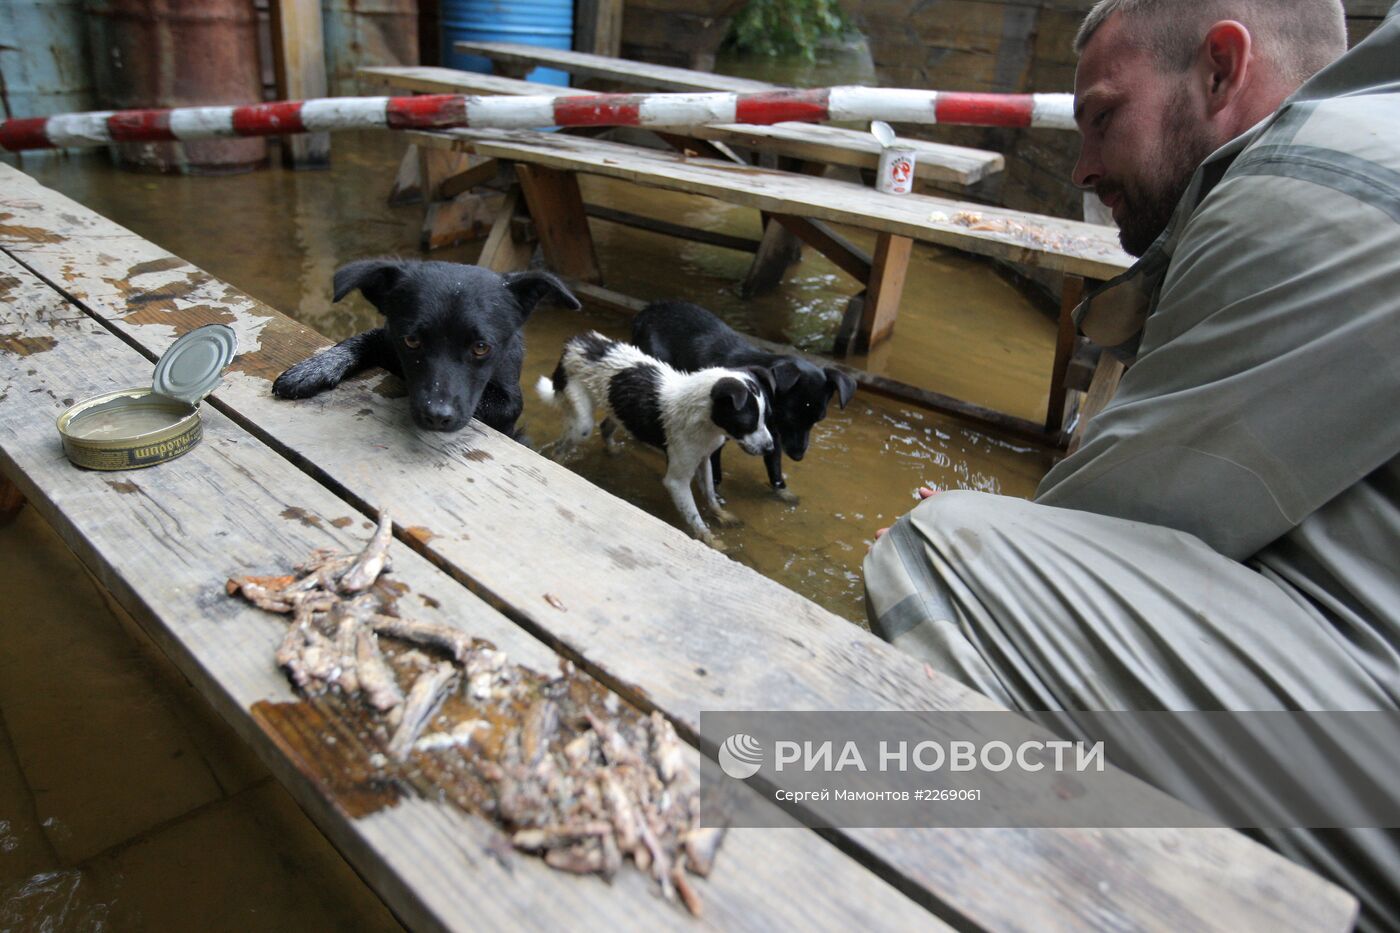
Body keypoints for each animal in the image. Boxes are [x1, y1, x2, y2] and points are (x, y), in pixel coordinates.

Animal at [270, 257, 576, 437]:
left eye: (481, 347)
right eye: (412, 341)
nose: (437, 417)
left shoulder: (509, 400)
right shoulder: (388, 338)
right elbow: (356, 340)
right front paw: (312, 370)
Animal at [534, 332, 778, 546]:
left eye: (767, 417)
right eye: (747, 423)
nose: (770, 448)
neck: (704, 419)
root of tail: (577, 342)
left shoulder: (703, 459)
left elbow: (710, 494)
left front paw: (721, 515)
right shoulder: (677, 481)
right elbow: (693, 515)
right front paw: (709, 539)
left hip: (621, 410)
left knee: (605, 427)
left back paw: (612, 450)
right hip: (583, 423)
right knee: (561, 447)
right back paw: (559, 463)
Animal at [632, 301, 851, 498]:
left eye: (818, 420)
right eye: (790, 417)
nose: (798, 456)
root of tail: (647, 311)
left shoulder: (772, 436)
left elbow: (775, 468)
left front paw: (783, 492)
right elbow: (715, 476)